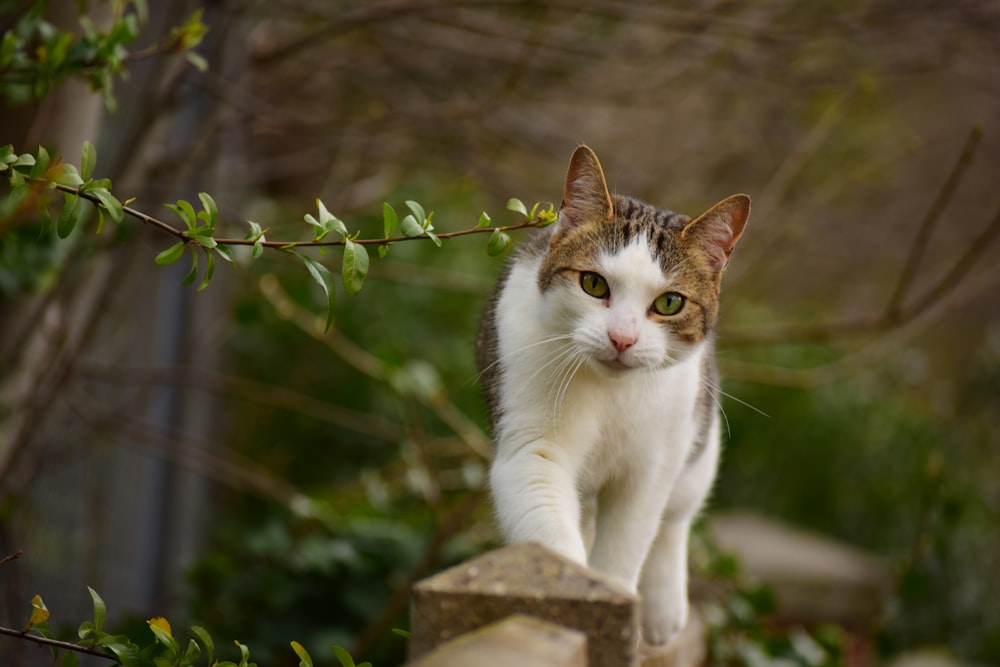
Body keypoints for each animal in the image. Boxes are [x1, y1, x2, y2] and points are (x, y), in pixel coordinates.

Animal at [476, 145, 752, 648]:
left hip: (695, 438)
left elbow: (630, 540)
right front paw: (582, 602)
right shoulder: (531, 446)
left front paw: (622, 605)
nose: (622, 339)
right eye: (594, 284)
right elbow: (553, 534)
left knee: (676, 517)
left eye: (669, 303)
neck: (612, 393)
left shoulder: (650, 467)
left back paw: (663, 608)